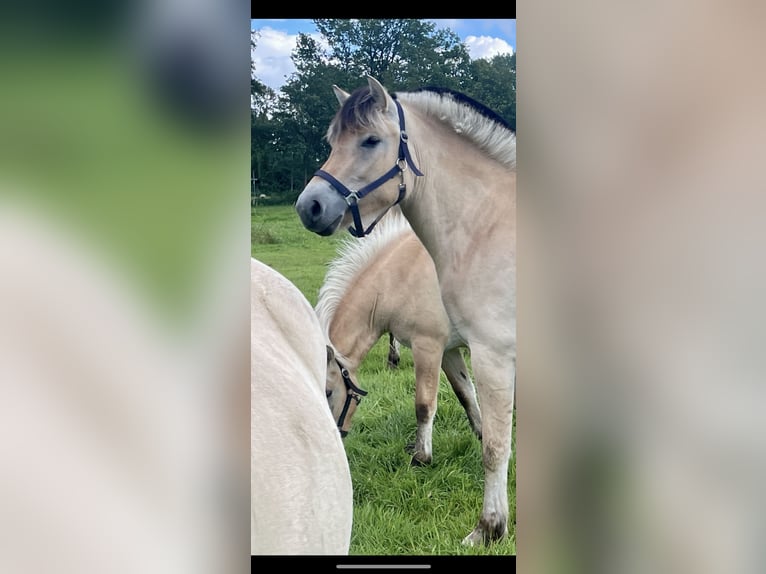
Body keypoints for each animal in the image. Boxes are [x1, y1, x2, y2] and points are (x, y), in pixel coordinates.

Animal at [318, 209, 480, 466]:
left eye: (328, 392)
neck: (399, 276)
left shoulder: (427, 346)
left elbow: (424, 404)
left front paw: (421, 458)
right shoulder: (448, 351)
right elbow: (465, 393)